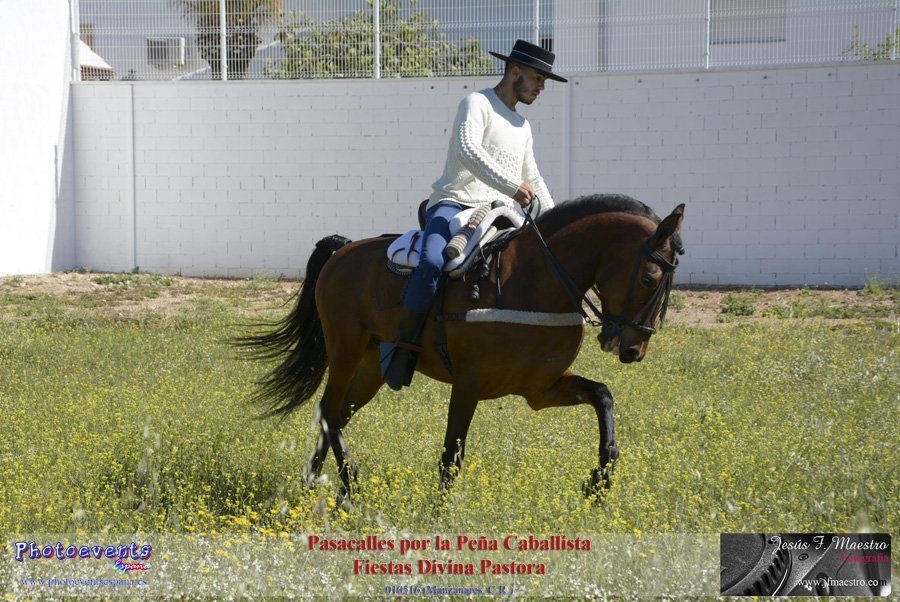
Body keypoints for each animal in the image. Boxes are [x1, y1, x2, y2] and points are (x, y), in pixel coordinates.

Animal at [238, 193, 685, 499]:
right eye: (648, 278)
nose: (633, 349)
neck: (535, 281)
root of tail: (343, 249)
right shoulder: (468, 384)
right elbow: (450, 456)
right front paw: (439, 515)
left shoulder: (541, 389)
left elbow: (603, 396)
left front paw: (600, 480)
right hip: (345, 350)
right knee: (330, 412)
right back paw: (351, 488)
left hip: (368, 366)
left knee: (333, 415)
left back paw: (315, 484)